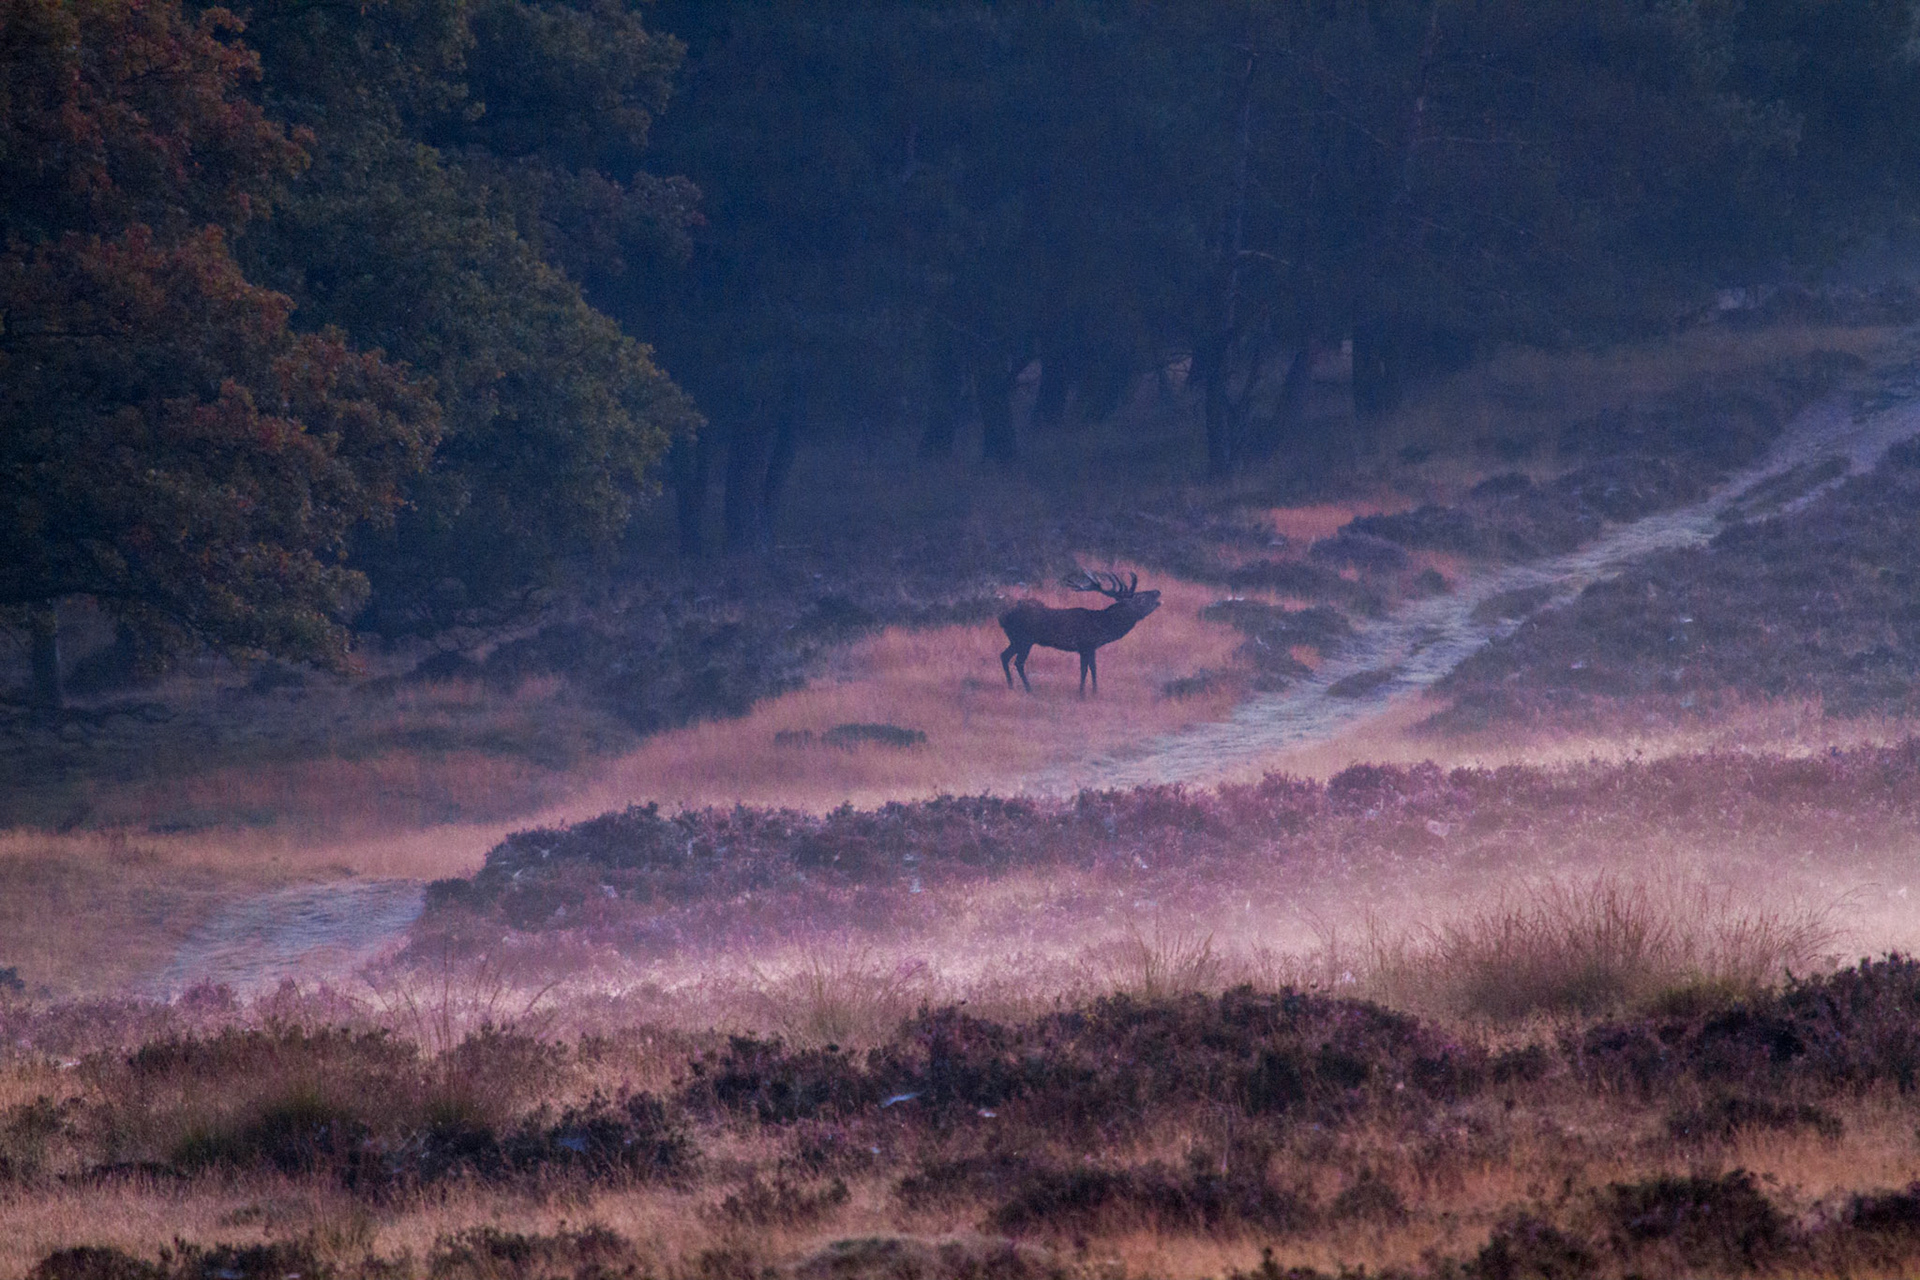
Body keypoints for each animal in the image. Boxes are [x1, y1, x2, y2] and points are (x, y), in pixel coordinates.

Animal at [999, 570, 1162, 695]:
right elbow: (1087, 669)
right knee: (1018, 662)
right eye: (1139, 597)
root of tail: (1003, 618)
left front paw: (1090, 691)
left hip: (1015, 640)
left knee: (1004, 656)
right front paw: (1086, 693)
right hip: (1025, 640)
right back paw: (1029, 689)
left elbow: (1090, 669)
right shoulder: (1086, 644)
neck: (1103, 626)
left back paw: (1011, 685)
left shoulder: (1088, 648)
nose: (1157, 591)